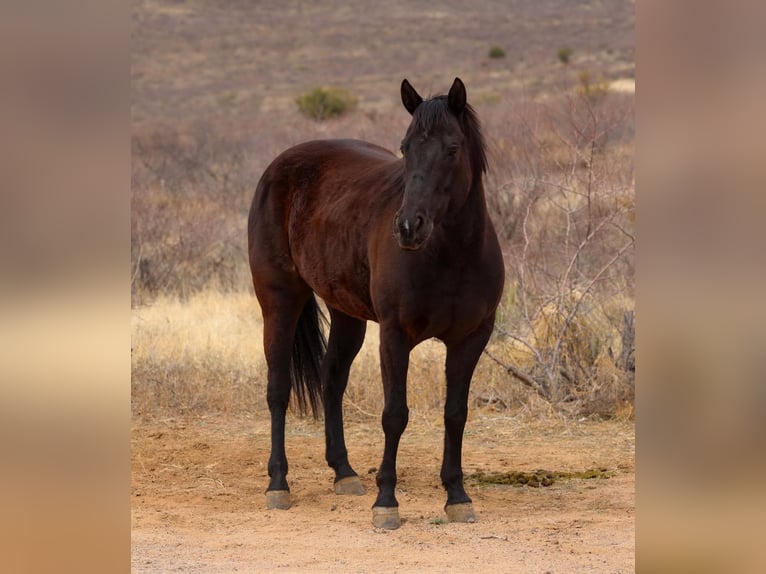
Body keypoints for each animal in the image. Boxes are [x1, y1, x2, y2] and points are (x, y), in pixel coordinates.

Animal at [248, 77, 505, 529]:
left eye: (452, 149)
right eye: (405, 147)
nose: (408, 227)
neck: (453, 256)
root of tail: (279, 166)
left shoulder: (471, 339)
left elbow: (455, 413)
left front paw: (457, 496)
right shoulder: (395, 336)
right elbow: (394, 414)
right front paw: (387, 501)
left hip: (347, 315)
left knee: (332, 381)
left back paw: (344, 473)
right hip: (279, 301)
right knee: (278, 389)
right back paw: (278, 484)